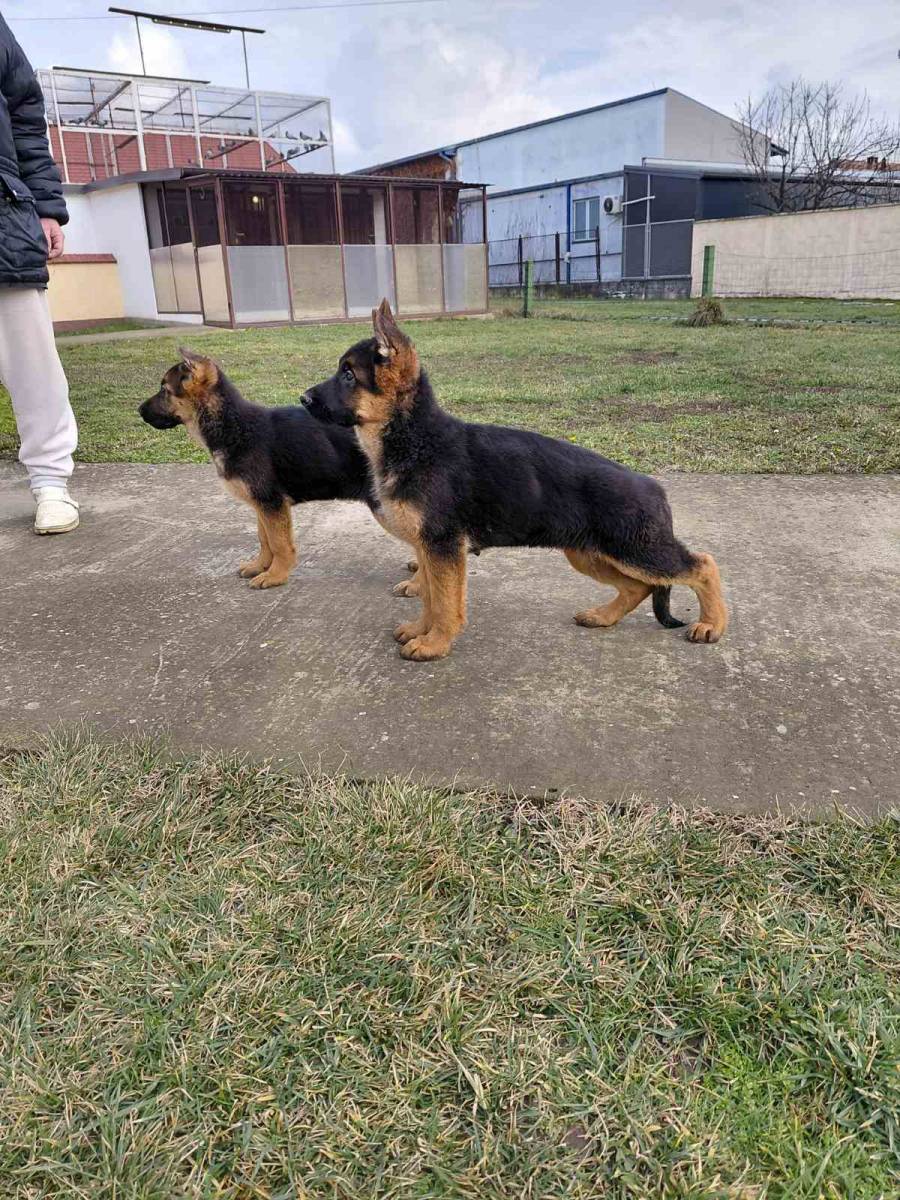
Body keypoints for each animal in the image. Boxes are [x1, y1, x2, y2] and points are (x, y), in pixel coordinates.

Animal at [140, 348, 394, 590]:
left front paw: (275, 576)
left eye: (164, 390)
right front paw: (260, 566)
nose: (139, 410)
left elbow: (279, 544)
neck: (233, 426)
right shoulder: (262, 506)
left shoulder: (272, 503)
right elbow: (265, 539)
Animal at [302, 300, 729, 662]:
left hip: (637, 550)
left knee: (703, 565)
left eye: (347, 374)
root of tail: (654, 487)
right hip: (590, 553)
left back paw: (712, 624)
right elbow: (430, 596)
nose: (302, 400)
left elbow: (444, 602)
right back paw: (603, 616)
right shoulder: (430, 549)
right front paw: (422, 630)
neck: (416, 438)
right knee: (638, 586)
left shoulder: (443, 547)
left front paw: (435, 643)